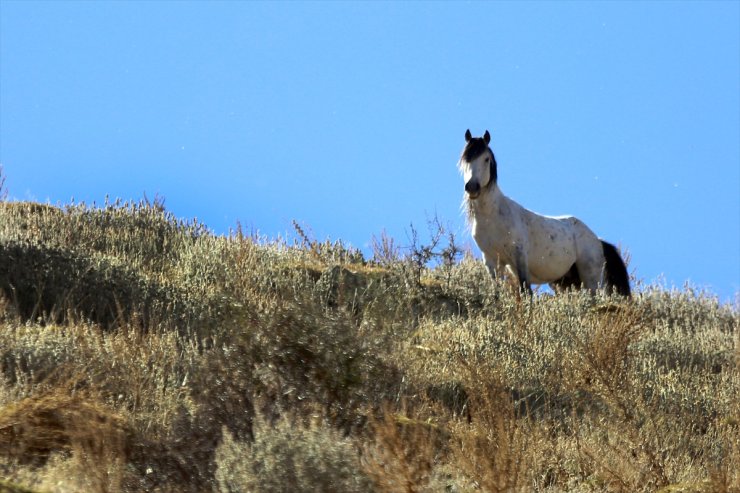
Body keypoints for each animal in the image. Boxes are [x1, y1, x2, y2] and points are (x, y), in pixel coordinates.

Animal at [456, 129, 632, 296]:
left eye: (486, 159)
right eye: (465, 160)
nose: (472, 187)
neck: (492, 216)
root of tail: (598, 241)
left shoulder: (520, 257)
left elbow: (526, 291)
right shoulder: (491, 261)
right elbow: (497, 293)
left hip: (591, 279)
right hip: (566, 283)